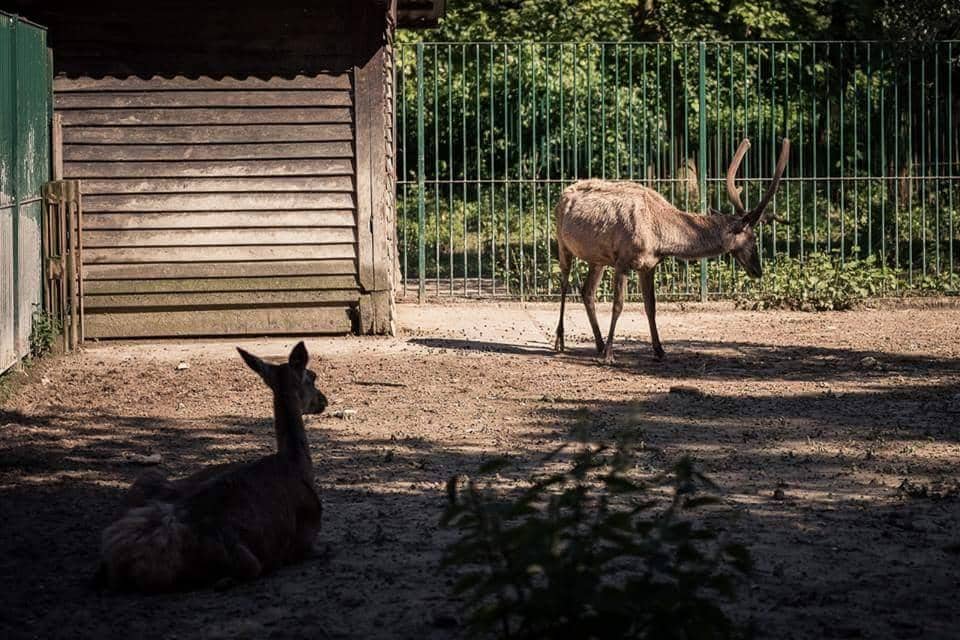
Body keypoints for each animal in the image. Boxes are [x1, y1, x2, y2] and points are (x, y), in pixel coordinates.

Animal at [97, 342, 327, 592]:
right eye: (312, 377)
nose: (324, 400)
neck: (297, 466)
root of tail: (123, 564)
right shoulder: (306, 539)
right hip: (243, 558)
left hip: (146, 487)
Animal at [554, 138, 790, 362]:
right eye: (753, 238)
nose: (758, 270)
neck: (659, 237)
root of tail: (562, 193)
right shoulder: (622, 261)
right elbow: (618, 305)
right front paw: (610, 355)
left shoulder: (648, 265)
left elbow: (651, 306)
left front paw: (659, 350)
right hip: (562, 244)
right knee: (564, 284)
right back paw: (560, 342)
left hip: (598, 259)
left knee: (587, 291)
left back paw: (599, 344)